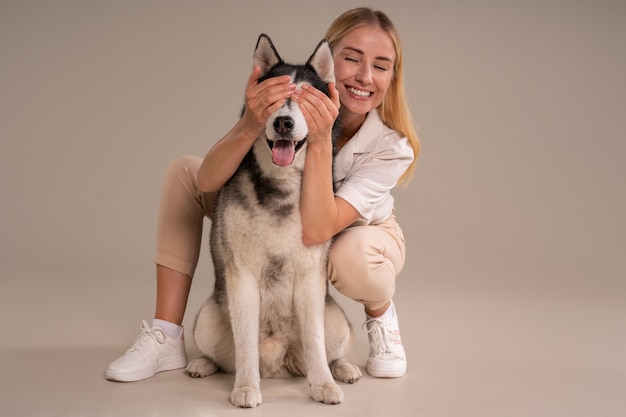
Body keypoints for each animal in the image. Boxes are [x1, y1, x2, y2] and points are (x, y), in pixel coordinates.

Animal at [185, 35, 360, 406]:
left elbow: (315, 341)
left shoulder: (310, 276)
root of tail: (278, 364)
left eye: (306, 101)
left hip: (336, 319)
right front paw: (246, 387)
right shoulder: (242, 275)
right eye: (273, 100)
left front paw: (323, 385)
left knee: (330, 348)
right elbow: (245, 346)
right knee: (223, 355)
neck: (281, 186)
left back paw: (343, 368)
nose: (283, 122)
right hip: (206, 319)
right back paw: (203, 363)